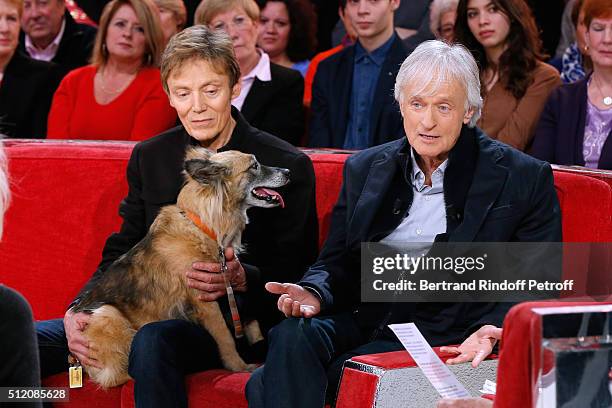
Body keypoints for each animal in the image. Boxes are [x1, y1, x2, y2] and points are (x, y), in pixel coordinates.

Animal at [70, 147, 290, 388]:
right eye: (254, 166)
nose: (288, 172)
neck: (201, 226)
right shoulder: (205, 300)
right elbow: (225, 336)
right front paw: (239, 366)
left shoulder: (230, 284)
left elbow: (251, 322)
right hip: (107, 314)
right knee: (115, 377)